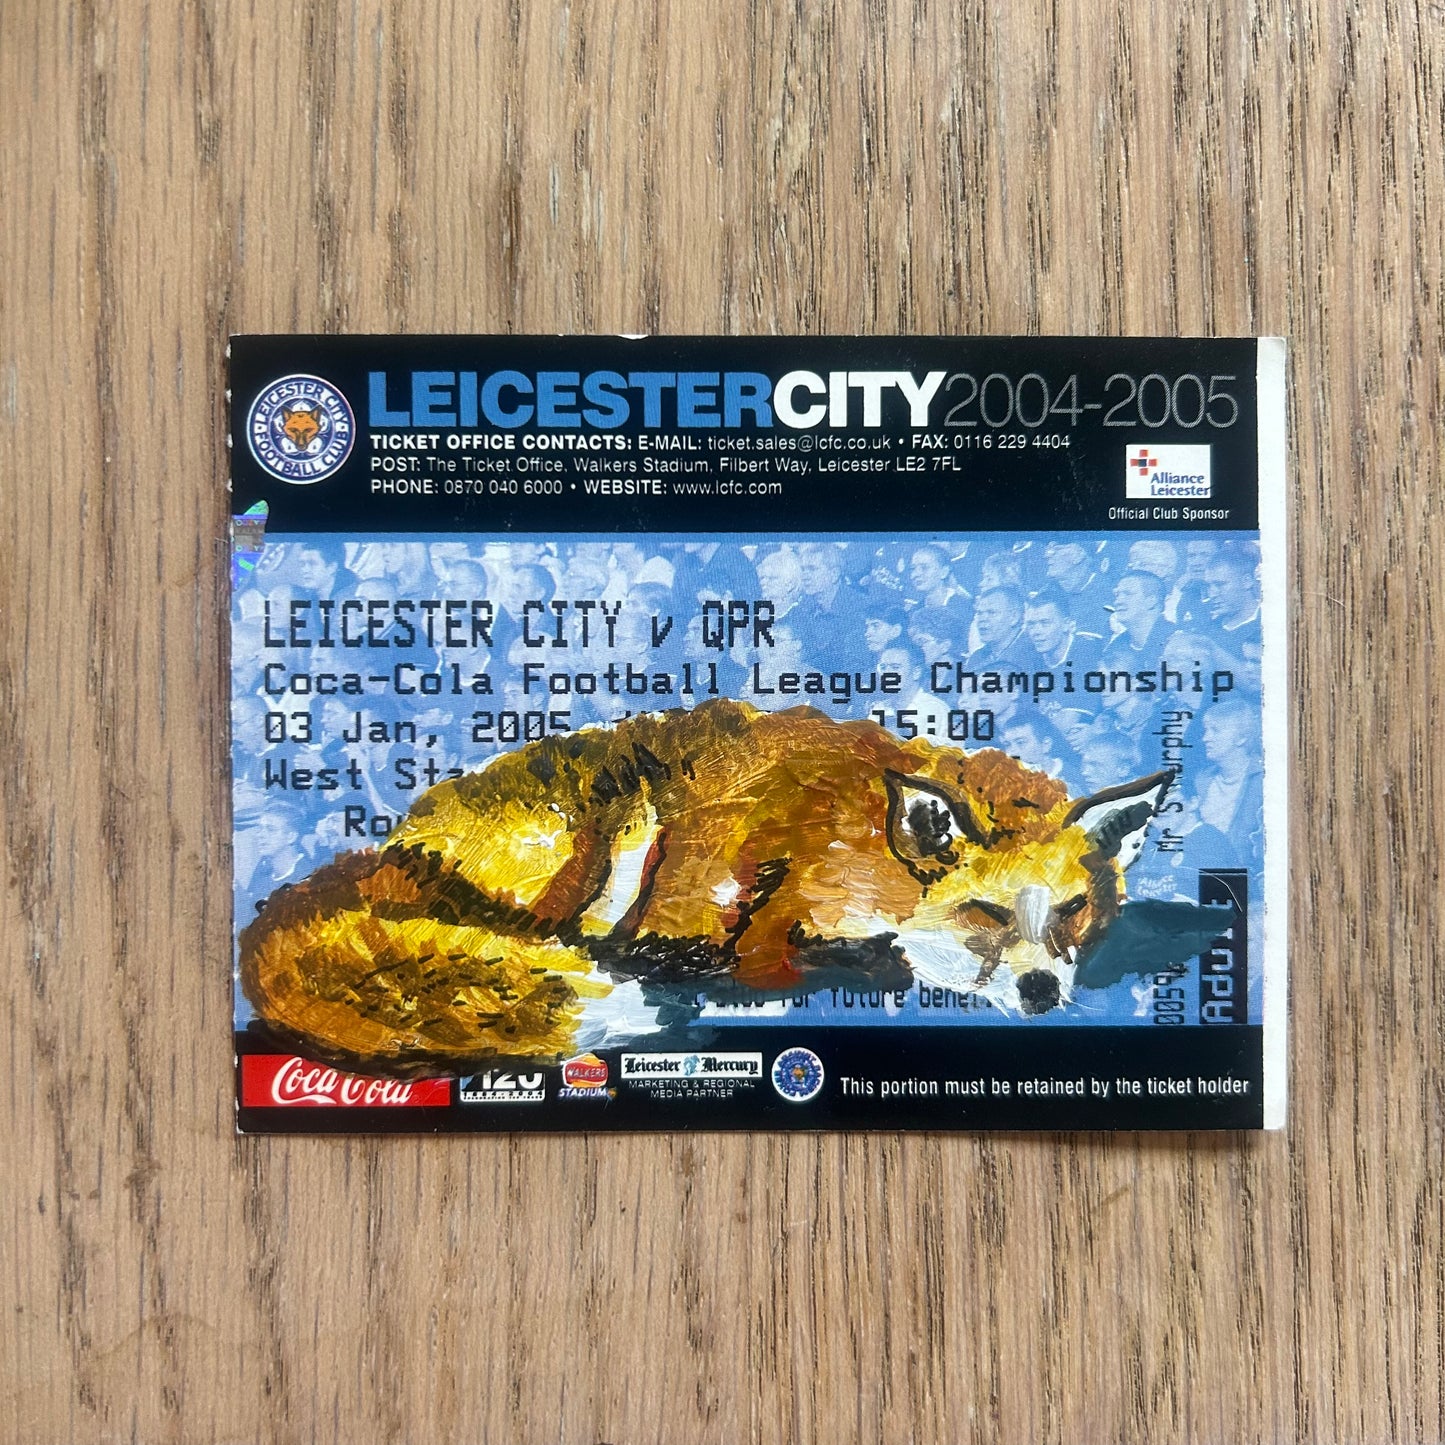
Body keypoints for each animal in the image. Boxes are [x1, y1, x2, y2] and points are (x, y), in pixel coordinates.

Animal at [240, 699, 1170, 1074]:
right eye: (985, 911)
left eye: (1074, 912)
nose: (1044, 993)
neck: (874, 848)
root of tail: (393, 842)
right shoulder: (772, 921)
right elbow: (829, 957)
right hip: (619, 829)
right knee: (566, 940)